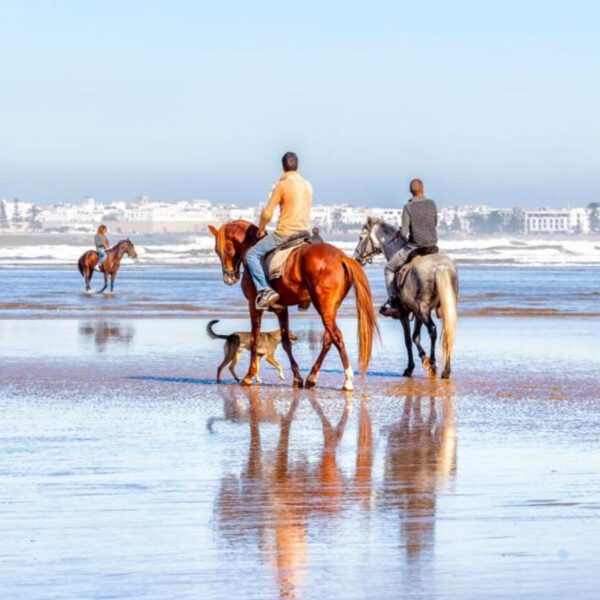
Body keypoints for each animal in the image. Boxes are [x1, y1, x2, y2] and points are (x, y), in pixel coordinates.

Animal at [209, 219, 378, 390]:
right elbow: (285, 342)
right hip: (331, 308)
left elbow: (254, 340)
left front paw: (249, 376)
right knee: (328, 339)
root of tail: (341, 257)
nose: (229, 277)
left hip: (323, 307)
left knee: (336, 336)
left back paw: (347, 379)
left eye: (219, 249)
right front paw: (297, 377)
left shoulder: (254, 306)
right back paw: (312, 377)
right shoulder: (281, 309)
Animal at [352, 218, 460, 380]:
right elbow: (416, 337)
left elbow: (408, 340)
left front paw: (411, 367)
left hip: (424, 310)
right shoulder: (416, 313)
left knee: (433, 330)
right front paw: (423, 359)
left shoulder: (405, 313)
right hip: (440, 308)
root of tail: (441, 267)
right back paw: (445, 370)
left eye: (360, 238)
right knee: (447, 331)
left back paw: (433, 363)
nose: (356, 258)